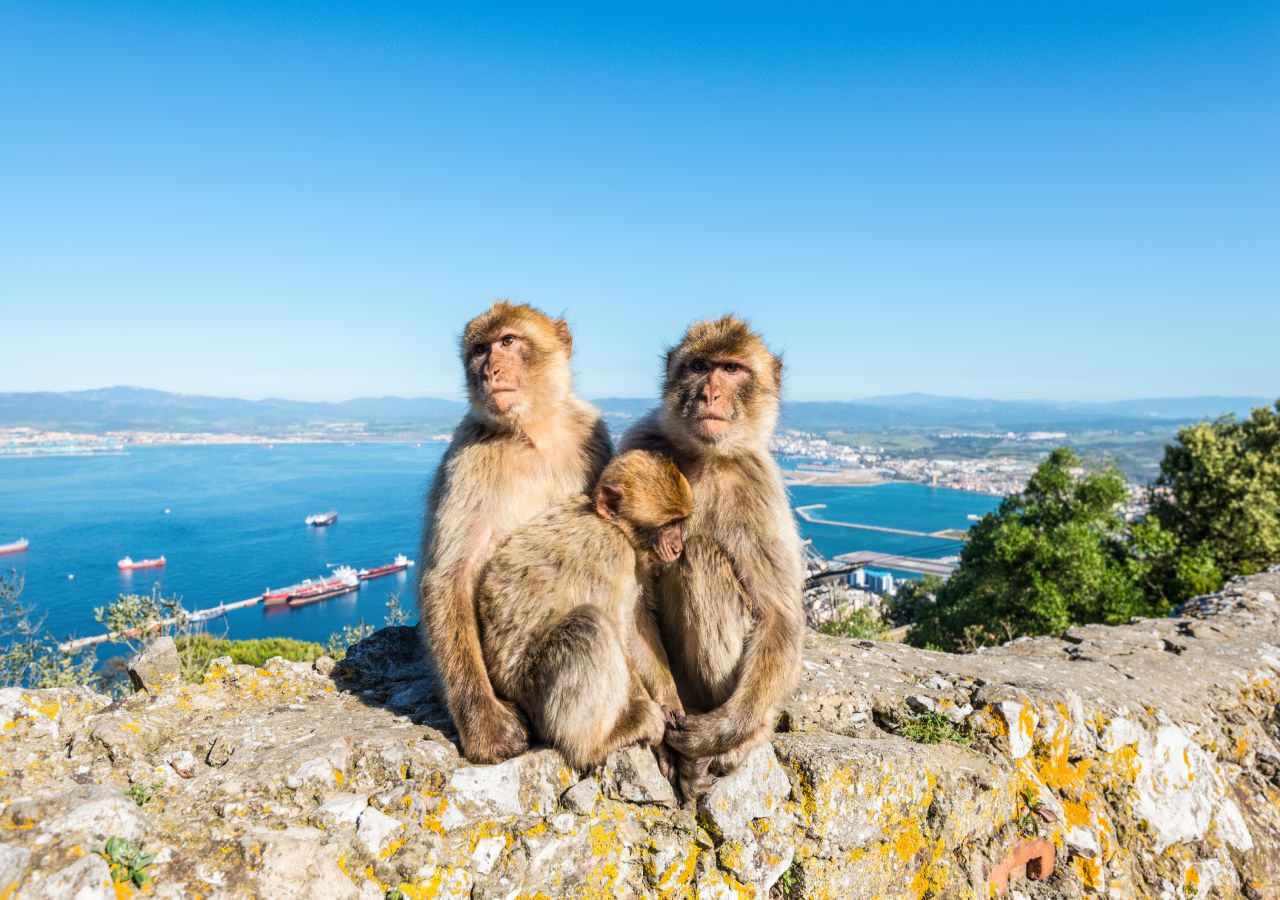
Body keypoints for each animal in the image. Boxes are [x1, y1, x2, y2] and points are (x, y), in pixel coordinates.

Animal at [476, 448, 691, 768]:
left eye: (679, 522)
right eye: (666, 526)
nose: (677, 548)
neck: (616, 529)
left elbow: (636, 625)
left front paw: (670, 701)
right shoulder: (611, 553)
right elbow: (618, 630)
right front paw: (659, 734)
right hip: (532, 688)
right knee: (588, 625)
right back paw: (596, 744)